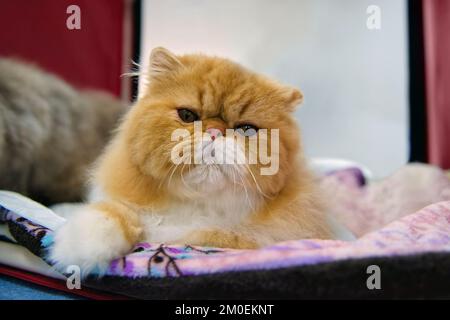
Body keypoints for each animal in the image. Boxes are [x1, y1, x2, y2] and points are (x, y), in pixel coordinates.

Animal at [51, 47, 340, 272]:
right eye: (188, 116)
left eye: (246, 129)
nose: (215, 132)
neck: (196, 206)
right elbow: (109, 215)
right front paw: (78, 250)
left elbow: (201, 237)